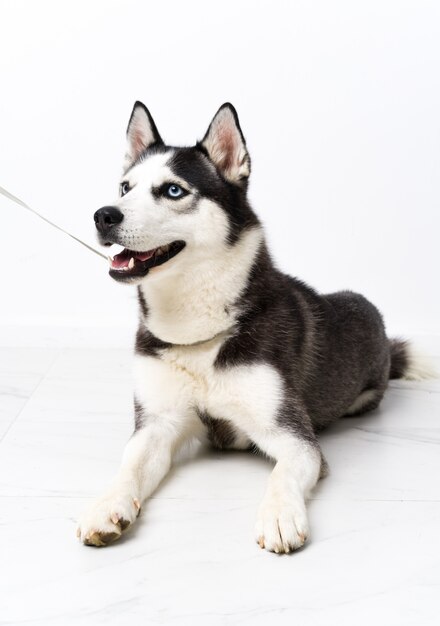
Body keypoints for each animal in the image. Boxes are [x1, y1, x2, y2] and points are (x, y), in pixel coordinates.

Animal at [77, 101, 428, 552]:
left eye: (173, 190)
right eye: (125, 188)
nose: (103, 215)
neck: (198, 333)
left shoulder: (293, 435)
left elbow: (284, 471)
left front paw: (279, 515)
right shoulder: (156, 424)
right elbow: (128, 466)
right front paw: (106, 505)